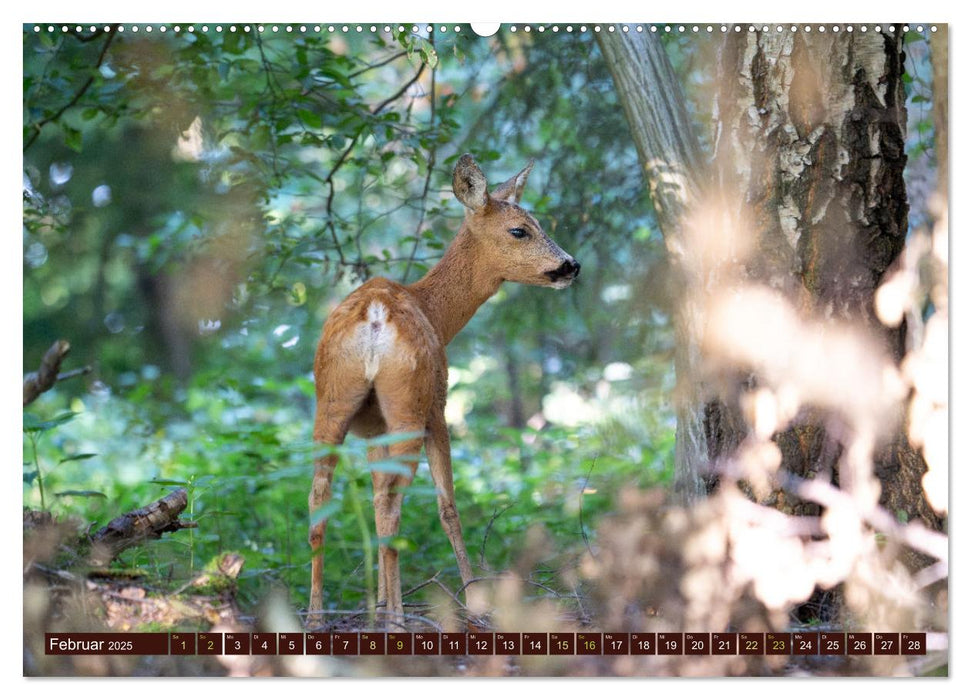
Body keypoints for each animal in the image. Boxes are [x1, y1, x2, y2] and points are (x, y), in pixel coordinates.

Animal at [308, 152, 580, 624]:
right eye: (520, 229)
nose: (571, 265)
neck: (436, 312)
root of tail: (375, 316)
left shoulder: (374, 427)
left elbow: (375, 495)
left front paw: (380, 604)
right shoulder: (439, 408)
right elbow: (448, 508)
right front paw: (473, 600)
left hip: (333, 397)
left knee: (321, 499)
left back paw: (317, 616)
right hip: (410, 401)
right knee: (395, 506)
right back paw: (399, 619)